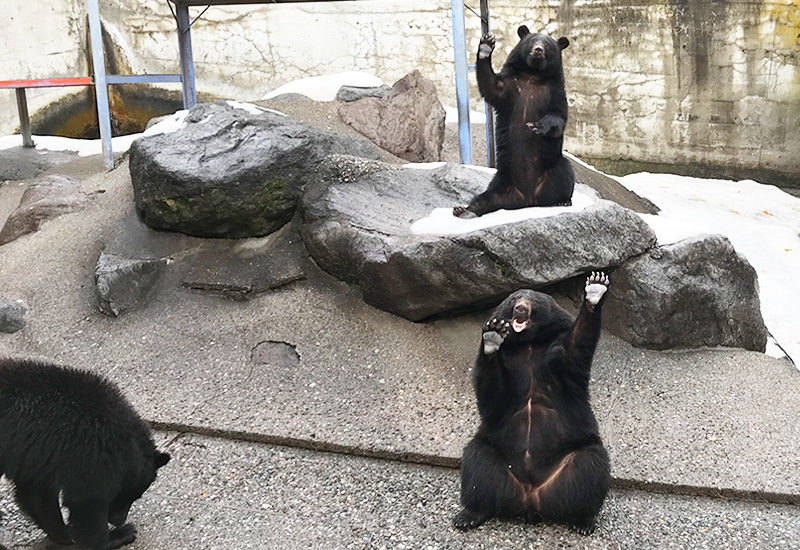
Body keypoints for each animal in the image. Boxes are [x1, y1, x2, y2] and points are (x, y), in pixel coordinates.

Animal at [0, 360, 169, 548]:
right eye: (127, 493)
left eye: (137, 495)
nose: (119, 520)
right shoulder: (88, 453)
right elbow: (87, 502)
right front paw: (118, 535)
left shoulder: (38, 457)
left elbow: (36, 495)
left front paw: (64, 534)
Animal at [450, 26, 576, 218]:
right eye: (532, 41)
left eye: (547, 45)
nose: (538, 50)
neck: (533, 74)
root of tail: (529, 199)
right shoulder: (510, 86)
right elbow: (492, 87)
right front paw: (486, 45)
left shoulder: (555, 90)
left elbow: (558, 116)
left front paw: (537, 126)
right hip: (502, 179)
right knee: (487, 196)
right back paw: (465, 210)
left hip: (552, 166)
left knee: (565, 174)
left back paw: (562, 200)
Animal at [456, 274, 612, 536]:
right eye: (515, 298)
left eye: (535, 301)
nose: (520, 308)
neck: (528, 344)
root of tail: (530, 499)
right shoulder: (508, 363)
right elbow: (492, 390)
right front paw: (493, 336)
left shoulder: (557, 355)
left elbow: (574, 347)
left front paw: (595, 289)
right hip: (496, 455)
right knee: (477, 462)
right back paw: (469, 515)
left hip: (572, 457)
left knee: (591, 465)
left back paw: (582, 521)